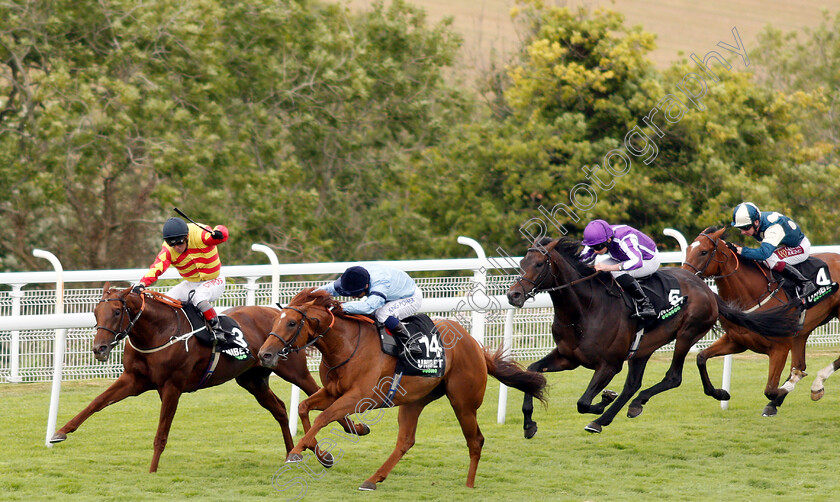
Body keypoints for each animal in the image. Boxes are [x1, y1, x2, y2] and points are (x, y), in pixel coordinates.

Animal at [47, 284, 366, 472]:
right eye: (95, 311)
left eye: (116, 311)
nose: (99, 349)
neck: (159, 331)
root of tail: (286, 314)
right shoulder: (134, 380)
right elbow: (96, 403)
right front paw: (60, 432)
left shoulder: (172, 387)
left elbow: (161, 433)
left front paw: (152, 469)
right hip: (252, 379)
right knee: (279, 408)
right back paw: (294, 452)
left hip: (293, 370)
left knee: (318, 394)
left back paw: (349, 434)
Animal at [256, 288, 548, 488]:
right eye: (275, 321)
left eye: (291, 323)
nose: (264, 354)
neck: (346, 344)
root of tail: (474, 345)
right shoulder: (333, 392)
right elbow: (305, 408)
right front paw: (324, 454)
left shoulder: (359, 397)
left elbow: (324, 417)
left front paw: (297, 452)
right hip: (414, 401)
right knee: (406, 441)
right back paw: (373, 480)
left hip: (463, 402)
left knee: (475, 440)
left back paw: (468, 485)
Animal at [502, 235, 796, 436]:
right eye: (522, 263)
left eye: (539, 263)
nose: (513, 295)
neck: (585, 308)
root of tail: (706, 289)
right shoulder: (567, 358)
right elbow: (532, 373)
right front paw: (529, 424)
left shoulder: (609, 364)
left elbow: (583, 402)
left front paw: (602, 400)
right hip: (642, 348)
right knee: (634, 385)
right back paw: (619, 412)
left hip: (687, 332)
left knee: (673, 377)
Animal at [684, 227, 840, 416]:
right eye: (687, 249)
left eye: (703, 252)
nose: (684, 276)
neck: (751, 296)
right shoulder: (736, 341)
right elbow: (701, 358)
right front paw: (720, 393)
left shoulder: (780, 347)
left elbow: (770, 389)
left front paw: (790, 384)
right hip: (801, 332)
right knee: (800, 362)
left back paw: (816, 384)